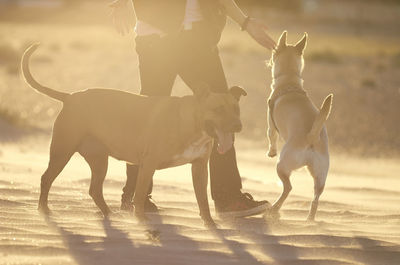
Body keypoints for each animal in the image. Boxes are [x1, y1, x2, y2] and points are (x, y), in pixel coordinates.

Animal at [21, 43, 247, 227]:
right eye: (218, 109)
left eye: (236, 109)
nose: (238, 126)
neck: (190, 122)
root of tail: (70, 97)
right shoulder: (148, 165)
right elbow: (138, 196)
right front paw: (141, 220)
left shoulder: (199, 169)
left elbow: (203, 202)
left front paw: (210, 224)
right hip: (62, 152)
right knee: (46, 179)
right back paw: (43, 210)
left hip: (99, 161)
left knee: (94, 190)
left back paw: (108, 214)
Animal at [268, 32, 332, 220]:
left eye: (274, 52)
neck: (290, 82)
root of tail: (312, 136)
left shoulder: (270, 122)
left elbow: (271, 136)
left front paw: (271, 152)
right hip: (320, 176)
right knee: (316, 198)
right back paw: (310, 219)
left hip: (282, 165)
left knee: (288, 188)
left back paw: (274, 209)